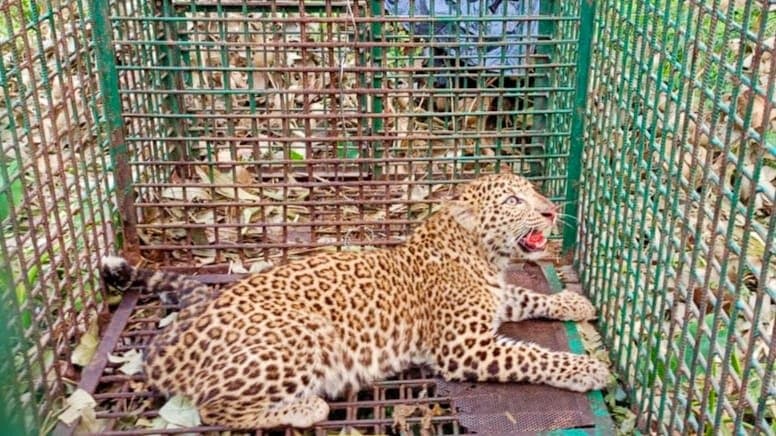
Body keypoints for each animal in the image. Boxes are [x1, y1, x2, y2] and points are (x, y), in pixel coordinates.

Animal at [100, 172, 611, 430]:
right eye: (512, 201)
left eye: (533, 192)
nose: (550, 210)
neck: (482, 255)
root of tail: (178, 343)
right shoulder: (462, 347)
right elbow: (532, 355)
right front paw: (587, 369)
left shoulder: (496, 301)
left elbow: (526, 295)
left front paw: (574, 303)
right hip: (302, 335)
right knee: (215, 410)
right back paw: (307, 408)